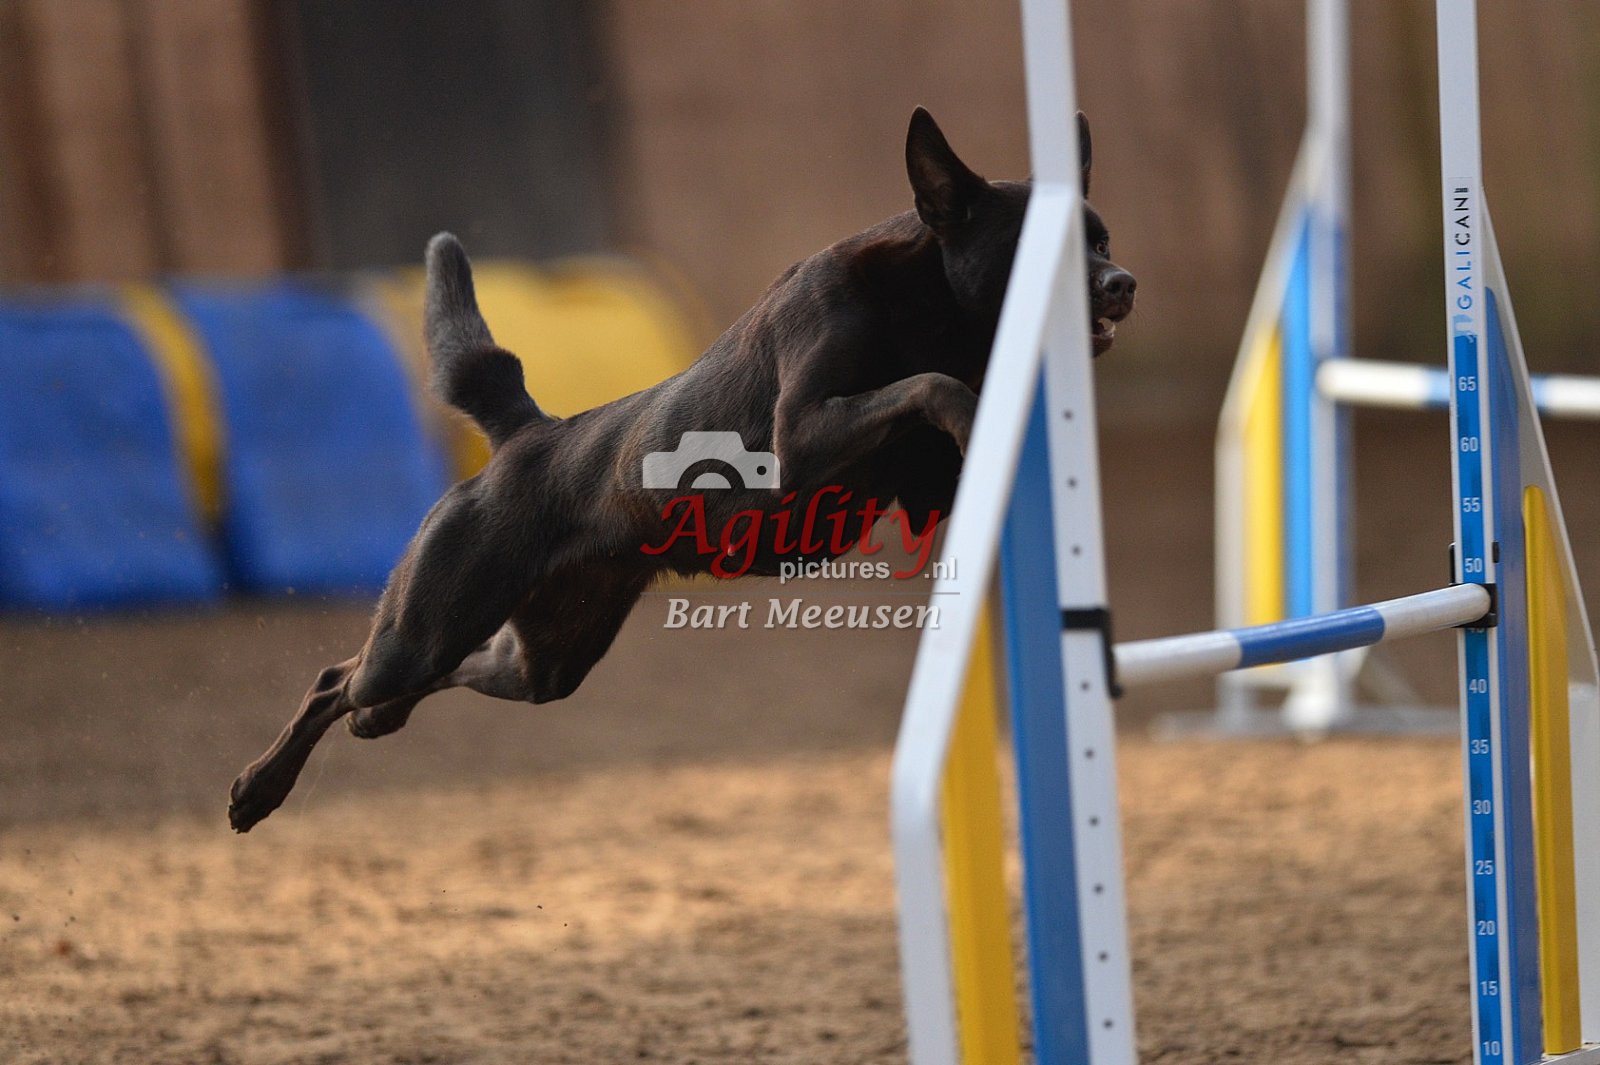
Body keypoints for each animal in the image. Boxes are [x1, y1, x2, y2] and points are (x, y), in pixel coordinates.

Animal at [227, 107, 1135, 832]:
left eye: (1102, 238)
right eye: (1048, 246)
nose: (1123, 283)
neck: (924, 302)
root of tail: (528, 436)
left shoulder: (918, 487)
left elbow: (935, 414)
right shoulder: (802, 432)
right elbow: (929, 384)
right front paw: (970, 408)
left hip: (546, 658)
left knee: (432, 674)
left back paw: (373, 725)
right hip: (428, 623)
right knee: (336, 676)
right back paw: (256, 788)